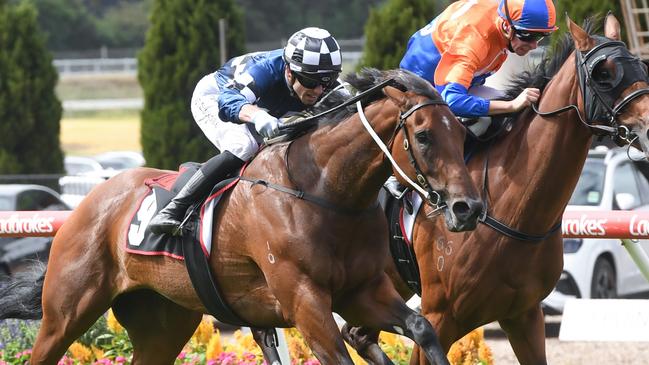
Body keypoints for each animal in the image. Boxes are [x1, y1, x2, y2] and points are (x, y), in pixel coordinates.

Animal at [0, 68, 480, 364]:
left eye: (461, 133)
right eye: (423, 136)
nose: (468, 208)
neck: (324, 191)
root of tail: (86, 204)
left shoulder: (361, 291)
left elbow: (422, 327)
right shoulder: (304, 300)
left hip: (163, 321)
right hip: (66, 312)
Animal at [344, 14, 649, 364]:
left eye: (641, 67)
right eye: (604, 74)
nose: (648, 128)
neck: (512, 210)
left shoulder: (524, 315)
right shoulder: (438, 317)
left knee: (354, 333)